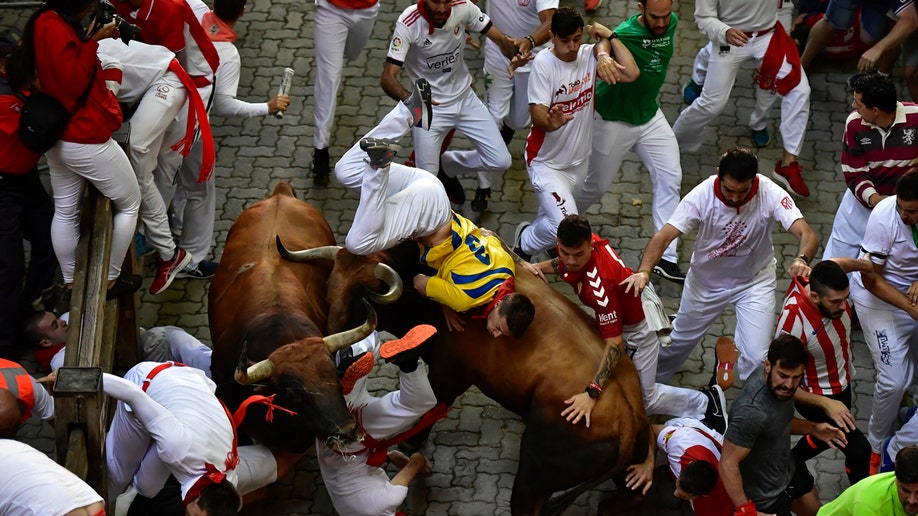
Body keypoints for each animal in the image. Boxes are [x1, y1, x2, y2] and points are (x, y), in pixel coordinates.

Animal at [284, 242, 652, 516]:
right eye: (329, 289)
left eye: (362, 296)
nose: (335, 348)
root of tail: (628, 414)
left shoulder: (449, 374)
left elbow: (430, 406)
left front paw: (411, 442)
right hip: (625, 472)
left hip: (533, 477)